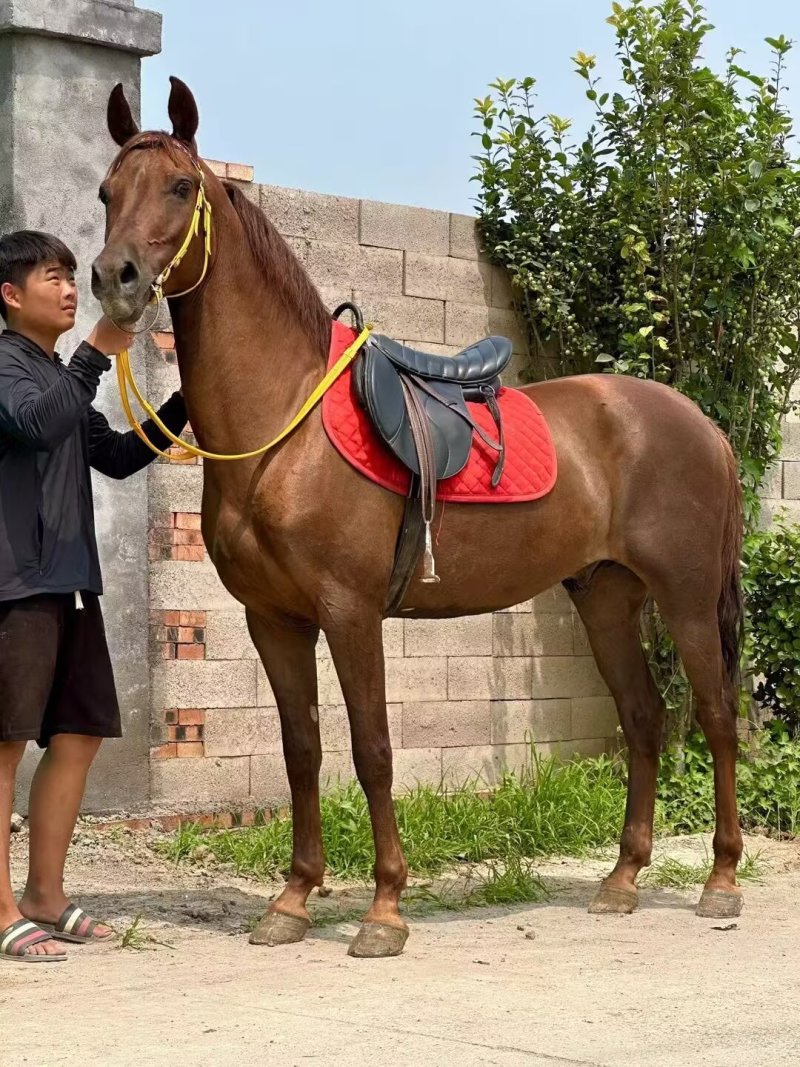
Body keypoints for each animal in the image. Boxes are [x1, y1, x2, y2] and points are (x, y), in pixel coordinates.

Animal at [91, 77, 745, 958]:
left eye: (180, 186)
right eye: (107, 191)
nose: (115, 278)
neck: (285, 426)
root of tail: (702, 424)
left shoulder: (350, 610)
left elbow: (372, 750)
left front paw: (384, 909)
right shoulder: (274, 619)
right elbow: (303, 751)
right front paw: (292, 900)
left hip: (686, 598)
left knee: (715, 718)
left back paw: (720, 880)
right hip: (606, 594)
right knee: (643, 717)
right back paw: (622, 881)